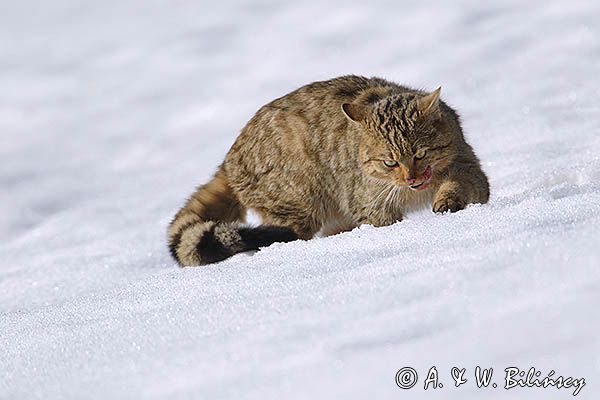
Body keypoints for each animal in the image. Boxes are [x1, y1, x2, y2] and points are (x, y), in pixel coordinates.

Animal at [168, 75, 488, 266]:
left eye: (420, 153)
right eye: (389, 162)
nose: (411, 177)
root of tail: (229, 157)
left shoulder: (468, 167)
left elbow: (464, 185)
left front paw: (448, 199)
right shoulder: (369, 205)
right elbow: (383, 223)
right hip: (296, 209)